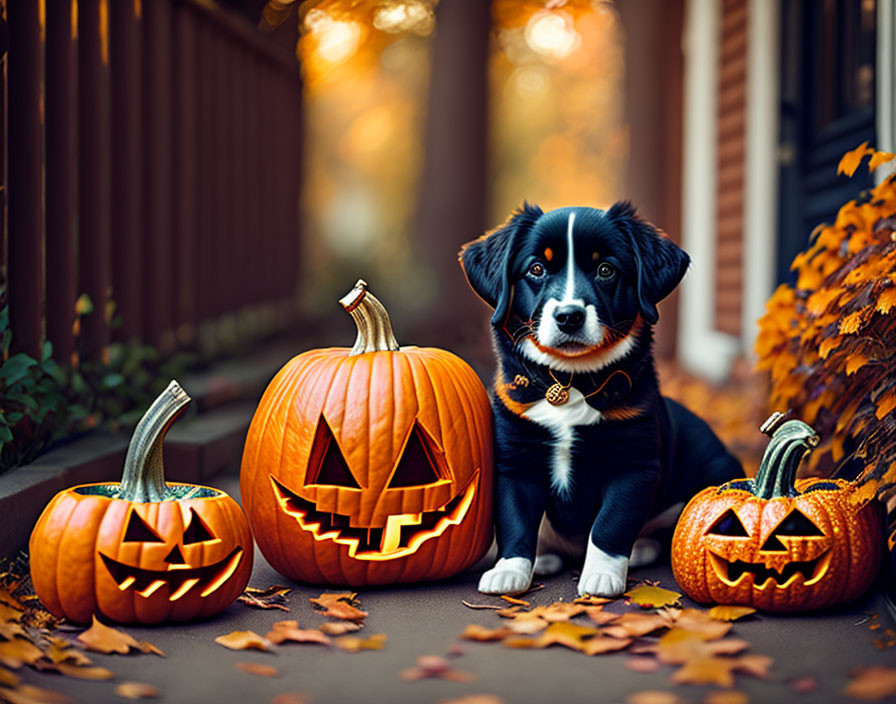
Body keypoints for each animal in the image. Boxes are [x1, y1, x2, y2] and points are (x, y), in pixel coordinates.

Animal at [458, 201, 744, 596]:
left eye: (606, 270)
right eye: (536, 268)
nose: (569, 316)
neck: (570, 380)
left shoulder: (634, 465)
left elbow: (610, 525)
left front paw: (602, 576)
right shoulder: (514, 460)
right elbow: (515, 521)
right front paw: (509, 571)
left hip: (717, 471)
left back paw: (639, 550)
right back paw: (544, 559)